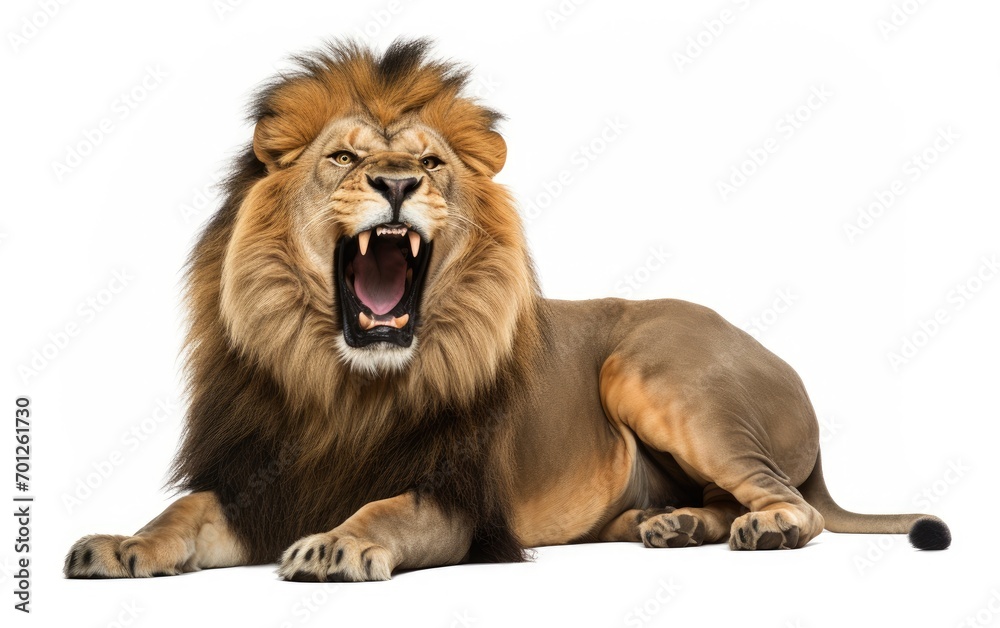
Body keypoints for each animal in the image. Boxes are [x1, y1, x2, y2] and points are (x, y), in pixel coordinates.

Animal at [64, 39, 950, 582]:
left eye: (429, 163)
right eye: (344, 157)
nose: (396, 182)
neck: (344, 384)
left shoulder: (459, 501)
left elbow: (385, 508)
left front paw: (338, 544)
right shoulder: (256, 482)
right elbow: (182, 510)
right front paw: (121, 545)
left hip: (650, 370)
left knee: (790, 502)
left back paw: (761, 528)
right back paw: (673, 525)